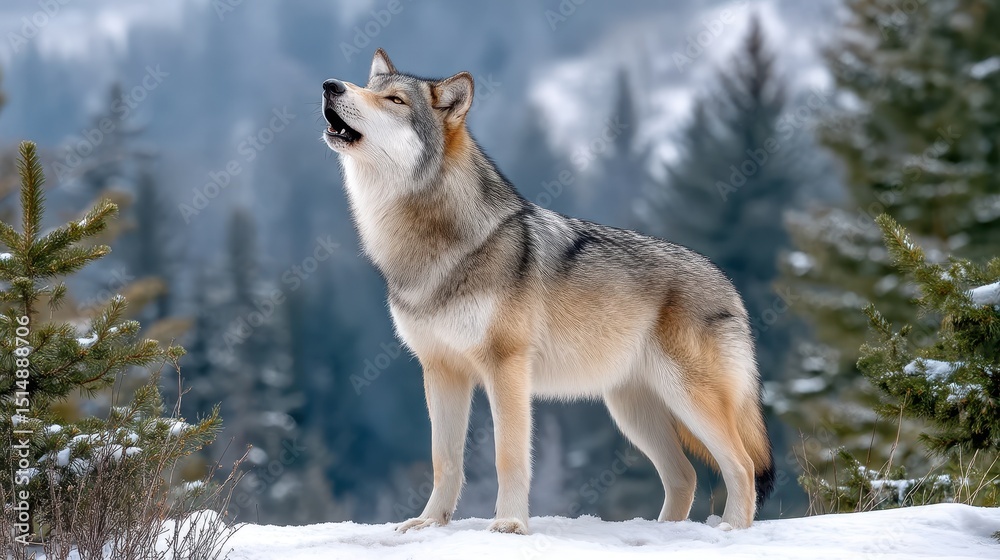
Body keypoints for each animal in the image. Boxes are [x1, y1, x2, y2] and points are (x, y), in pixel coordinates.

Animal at [321, 49, 774, 534]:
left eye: (394, 100)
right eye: (371, 88)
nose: (331, 85)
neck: (437, 248)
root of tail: (729, 285)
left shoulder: (506, 367)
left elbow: (508, 457)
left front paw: (509, 525)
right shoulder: (441, 370)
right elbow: (444, 460)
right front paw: (429, 523)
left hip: (687, 400)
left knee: (742, 465)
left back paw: (731, 530)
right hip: (633, 412)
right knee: (685, 475)